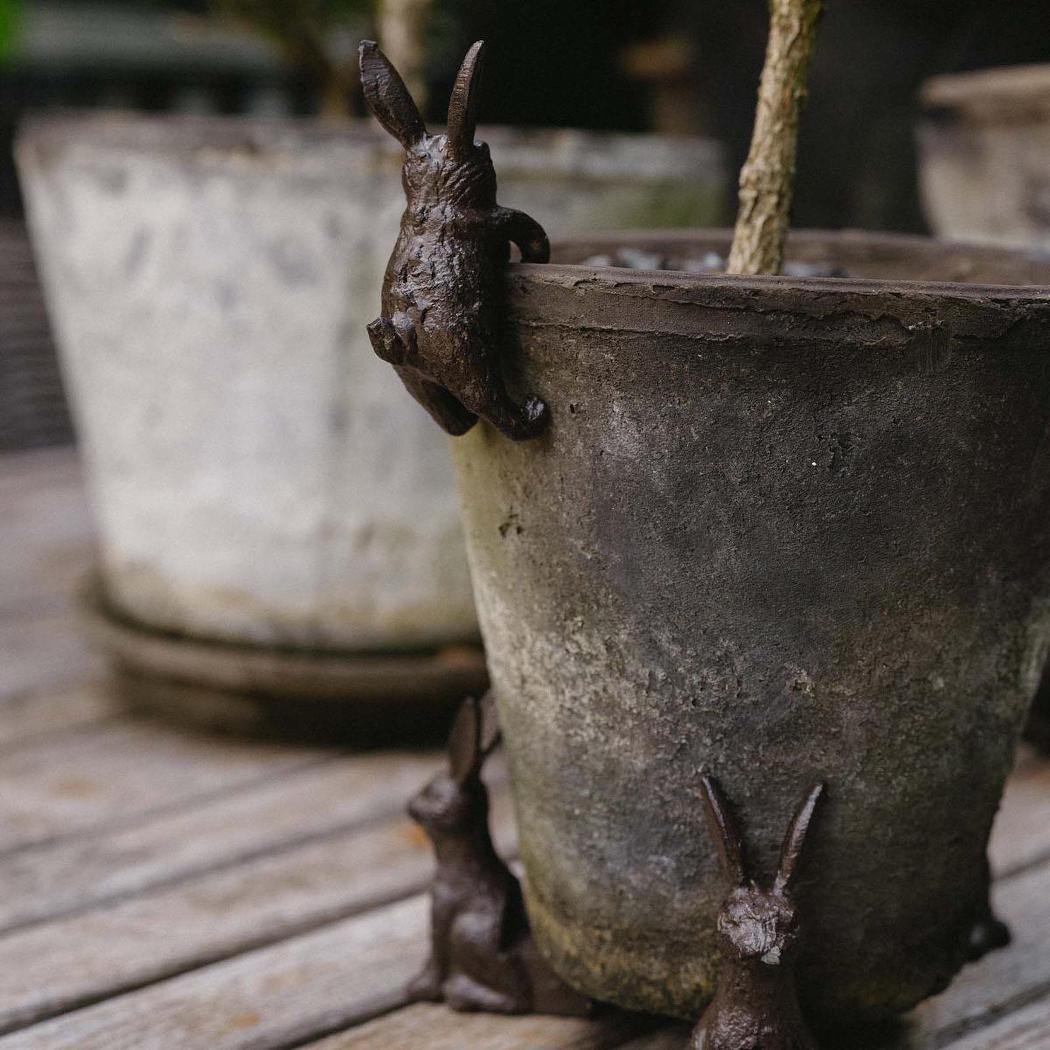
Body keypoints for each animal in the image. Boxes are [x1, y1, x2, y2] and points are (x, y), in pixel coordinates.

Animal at [359, 39, 552, 441]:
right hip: (466, 359)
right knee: (490, 403)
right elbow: (529, 230)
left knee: (446, 415)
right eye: (484, 149)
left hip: (413, 378)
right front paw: (537, 257)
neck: (435, 198)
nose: (483, 144)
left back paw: (463, 424)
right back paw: (532, 414)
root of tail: (401, 333)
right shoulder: (494, 219)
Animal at [406, 693, 590, 1015]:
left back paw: (461, 992)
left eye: (431, 795)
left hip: (467, 934)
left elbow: (435, 956)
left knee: (515, 999)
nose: (409, 805)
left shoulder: (442, 911)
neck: (460, 863)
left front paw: (421, 988)